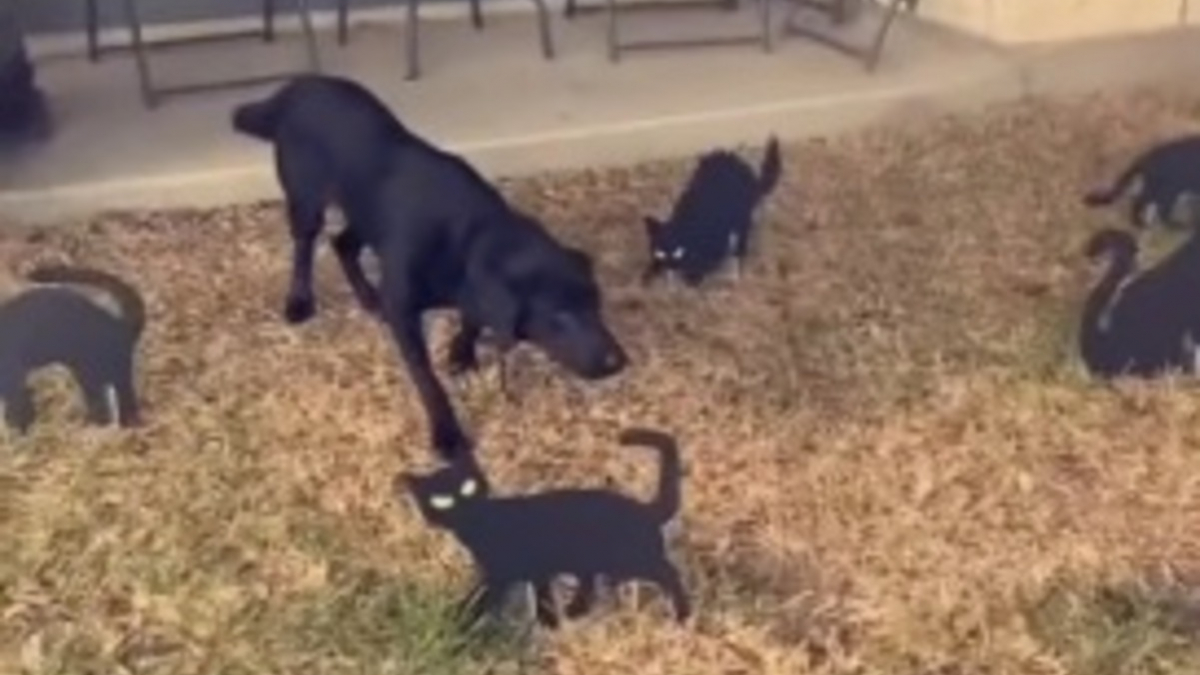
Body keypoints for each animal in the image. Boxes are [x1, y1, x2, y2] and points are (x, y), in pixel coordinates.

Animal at [231, 76, 628, 458]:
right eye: (560, 316)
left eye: (596, 304)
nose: (618, 362)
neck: (471, 234)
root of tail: (294, 89)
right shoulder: (405, 310)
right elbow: (427, 379)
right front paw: (447, 434)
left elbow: (472, 319)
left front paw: (461, 353)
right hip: (306, 199)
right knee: (305, 246)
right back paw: (300, 301)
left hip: (365, 213)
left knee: (343, 244)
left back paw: (369, 298)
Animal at [398, 427, 691, 629]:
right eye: (442, 500)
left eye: (467, 488)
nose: (463, 505)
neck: (483, 527)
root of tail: (646, 509)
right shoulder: (529, 569)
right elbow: (540, 592)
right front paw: (550, 622)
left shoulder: (502, 572)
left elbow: (482, 596)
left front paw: (459, 620)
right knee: (590, 584)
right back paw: (575, 611)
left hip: (630, 558)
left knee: (669, 572)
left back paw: (683, 616)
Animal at [643, 135, 782, 284]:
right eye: (661, 253)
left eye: (678, 252)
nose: (670, 265)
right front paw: (651, 271)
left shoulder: (716, 241)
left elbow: (705, 263)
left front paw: (693, 278)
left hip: (742, 218)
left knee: (740, 244)